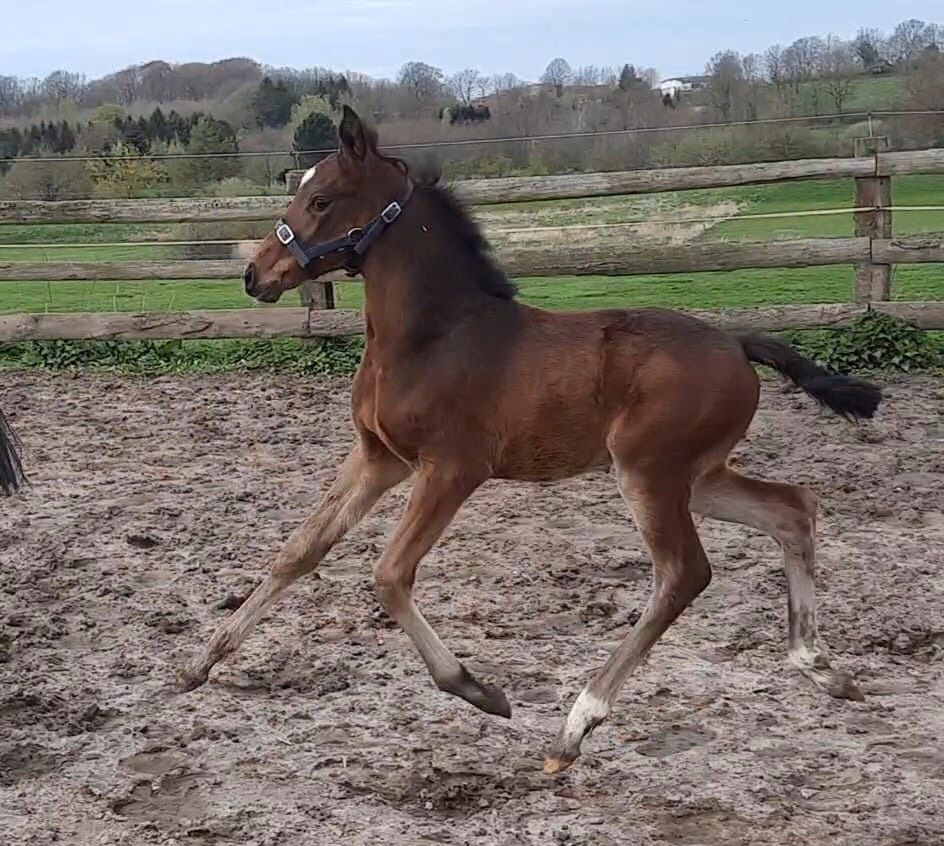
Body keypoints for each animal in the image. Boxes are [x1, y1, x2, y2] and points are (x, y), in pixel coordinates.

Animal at [181, 106, 880, 776]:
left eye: (322, 199)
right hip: (697, 476)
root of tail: (737, 341)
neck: (432, 338)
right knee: (792, 508)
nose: (255, 275)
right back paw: (819, 666)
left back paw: (576, 726)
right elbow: (300, 550)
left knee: (684, 573)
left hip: (648, 472)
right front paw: (202, 660)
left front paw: (478, 690)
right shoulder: (379, 458)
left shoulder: (451, 469)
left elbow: (388, 574)